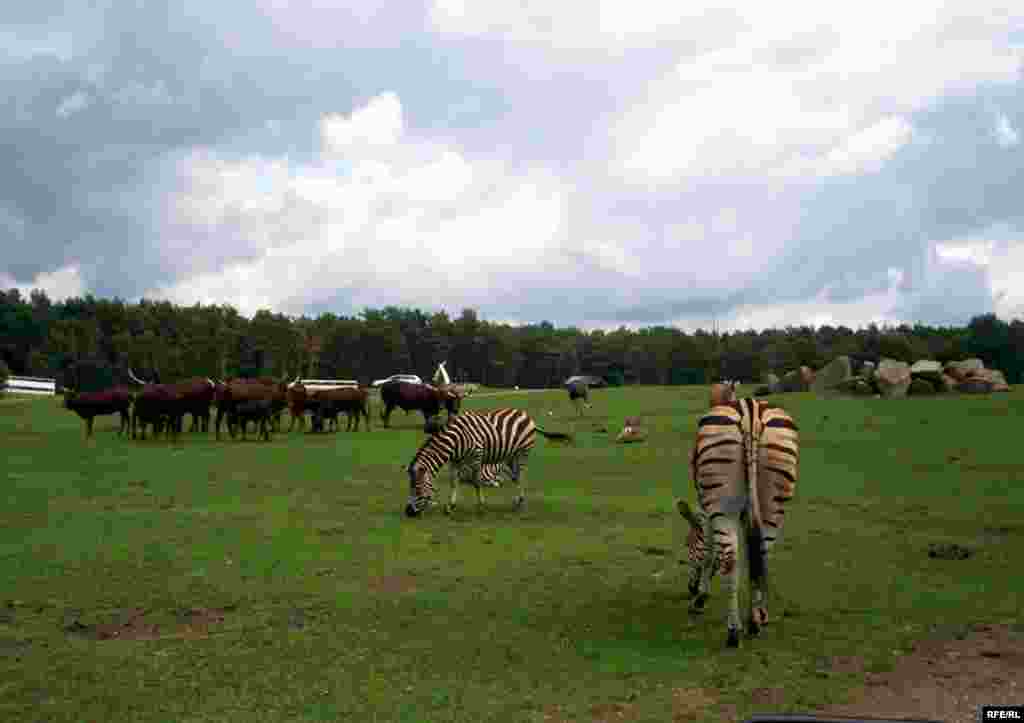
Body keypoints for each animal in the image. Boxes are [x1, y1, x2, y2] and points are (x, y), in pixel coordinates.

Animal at [403, 407, 573, 516]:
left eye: (417, 489)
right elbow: (454, 482)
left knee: (521, 476)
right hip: (510, 455)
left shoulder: (476, 457)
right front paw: (450, 507)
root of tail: (526, 415)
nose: (408, 512)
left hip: (522, 452)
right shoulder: (455, 461)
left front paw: (480, 507)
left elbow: (477, 482)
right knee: (516, 477)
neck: (455, 441)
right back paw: (517, 502)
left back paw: (521, 503)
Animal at [679, 393, 798, 647]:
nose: (690, 589)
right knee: (761, 554)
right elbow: (750, 553)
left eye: (688, 544)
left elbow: (711, 554)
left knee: (730, 560)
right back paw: (755, 620)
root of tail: (750, 411)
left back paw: (733, 631)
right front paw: (760, 613)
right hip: (772, 498)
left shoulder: (710, 512)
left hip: (722, 503)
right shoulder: (746, 513)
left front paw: (701, 598)